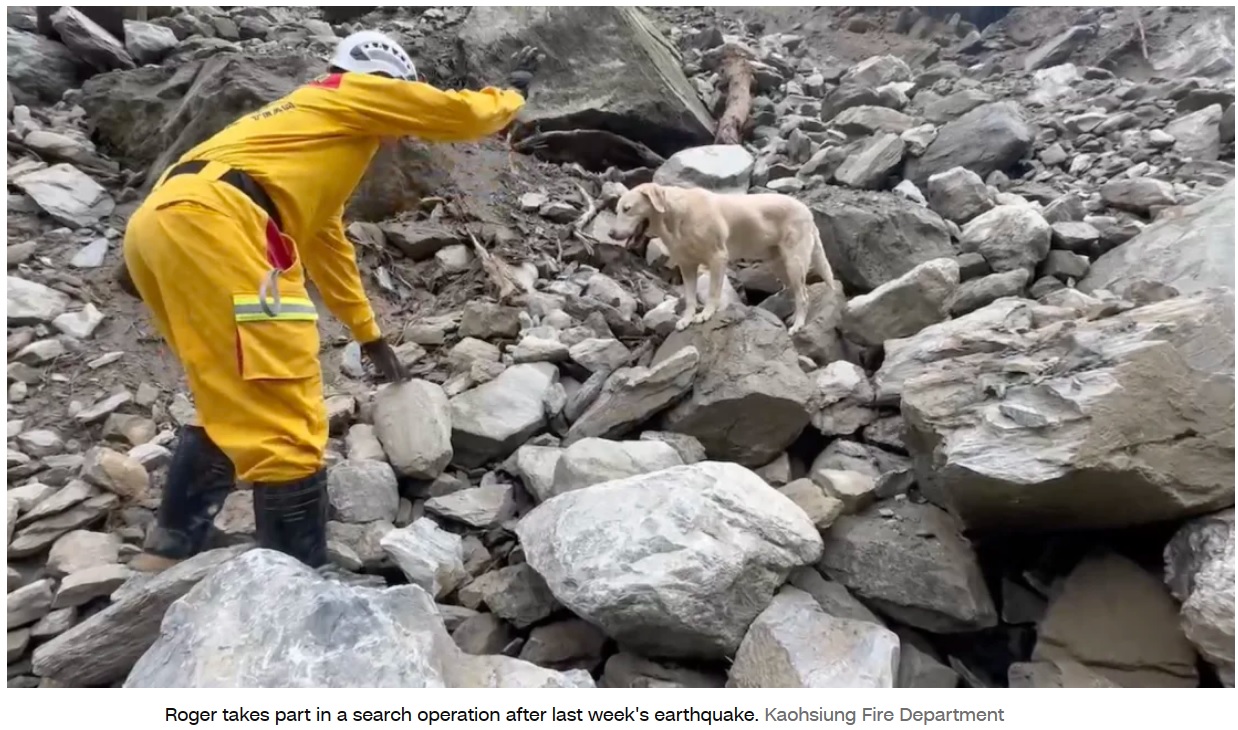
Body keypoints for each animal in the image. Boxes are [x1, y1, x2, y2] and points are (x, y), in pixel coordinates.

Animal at [611, 181, 836, 336]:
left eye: (627, 209)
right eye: (617, 210)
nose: (611, 234)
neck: (676, 217)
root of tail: (807, 211)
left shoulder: (717, 258)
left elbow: (712, 292)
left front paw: (706, 314)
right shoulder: (687, 266)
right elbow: (690, 298)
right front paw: (687, 319)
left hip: (794, 262)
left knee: (803, 295)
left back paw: (798, 325)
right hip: (779, 264)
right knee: (796, 292)